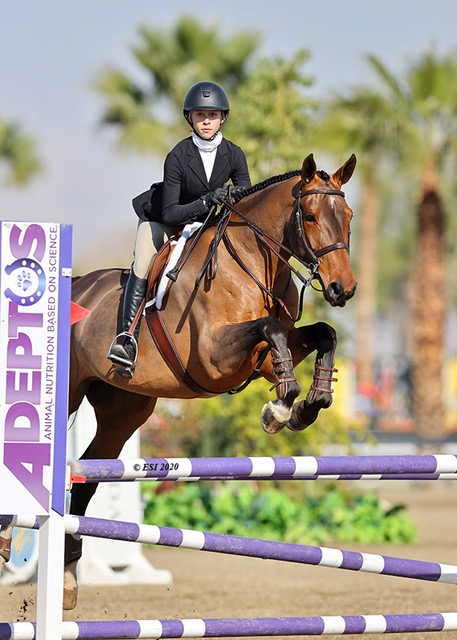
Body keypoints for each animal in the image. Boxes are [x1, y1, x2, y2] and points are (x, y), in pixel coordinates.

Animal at [0, 152, 356, 608]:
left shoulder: (261, 360)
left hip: (123, 412)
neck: (251, 263)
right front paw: (279, 409)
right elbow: (271, 330)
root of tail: (78, 285)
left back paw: (67, 580)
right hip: (68, 394)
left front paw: (309, 404)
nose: (343, 288)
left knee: (85, 481)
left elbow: (321, 333)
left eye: (348, 216)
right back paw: (9, 538)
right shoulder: (214, 358)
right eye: (309, 216)